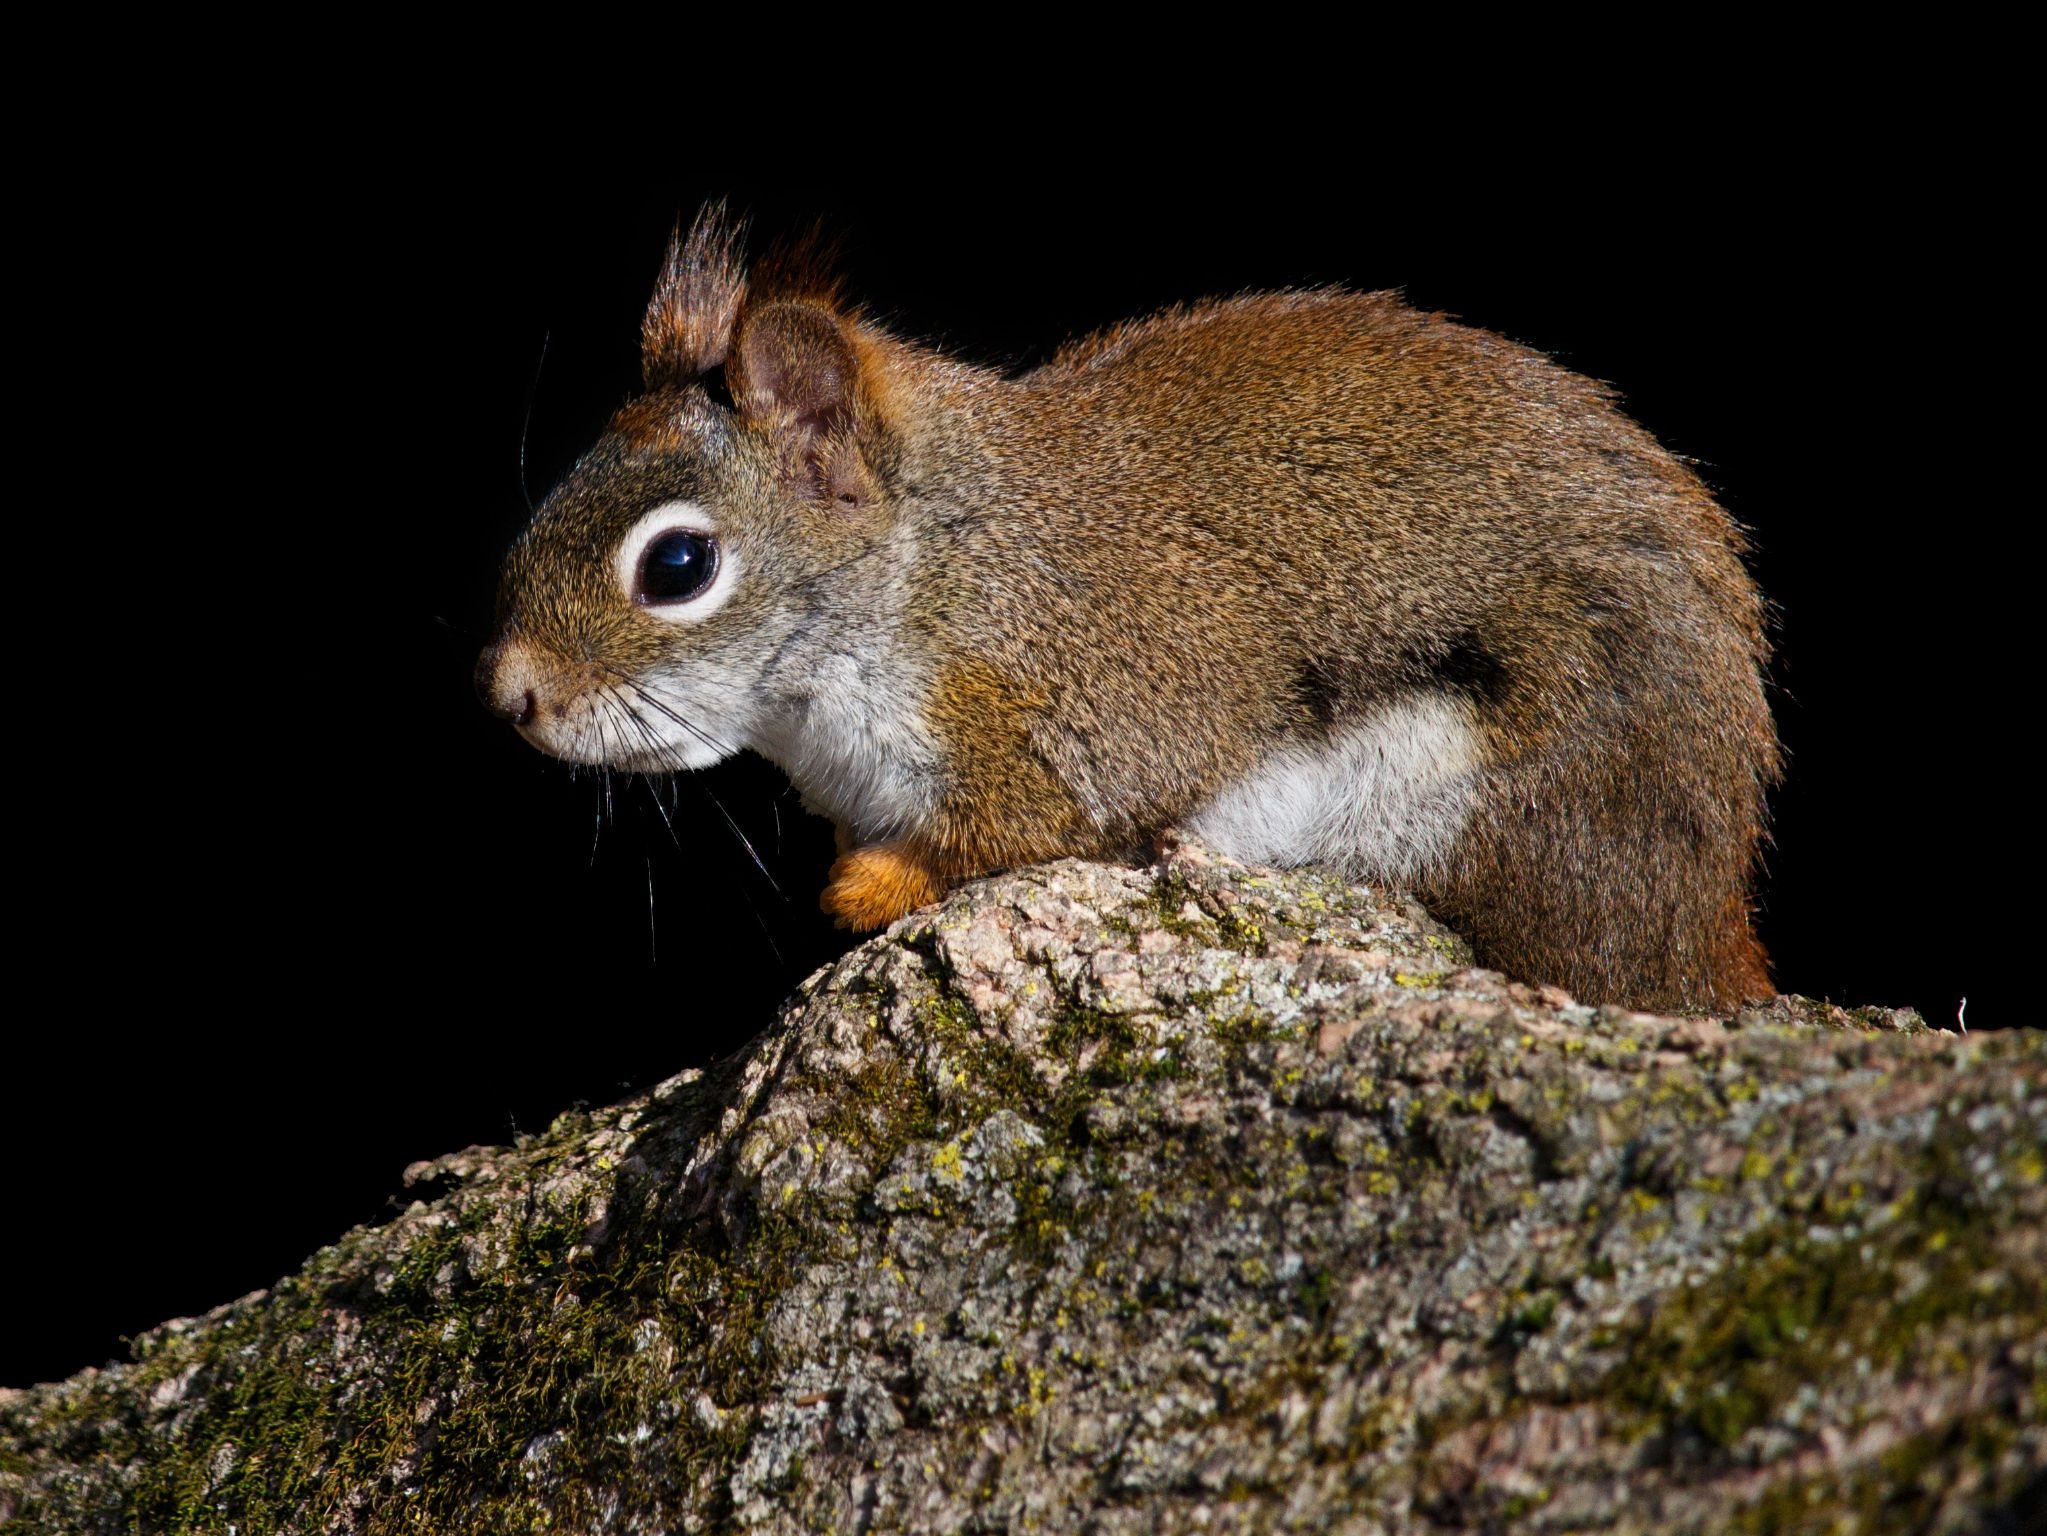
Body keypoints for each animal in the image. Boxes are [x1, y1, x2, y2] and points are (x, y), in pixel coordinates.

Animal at [477, 206, 1779, 1014]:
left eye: (678, 565)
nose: (509, 696)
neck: (932, 567)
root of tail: (1692, 932)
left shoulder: (1095, 696)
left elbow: (1016, 833)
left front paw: (873, 886)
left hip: (1484, 797)